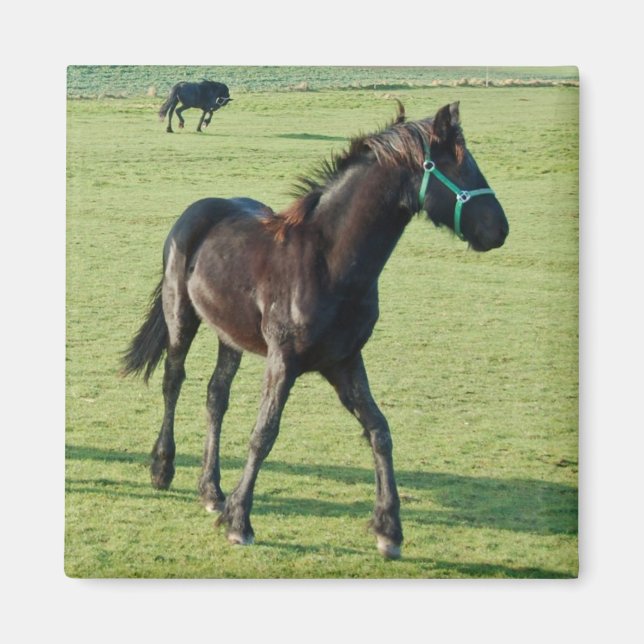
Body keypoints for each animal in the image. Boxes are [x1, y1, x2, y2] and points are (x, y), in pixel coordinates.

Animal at [122, 101, 509, 559]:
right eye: (461, 167)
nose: (499, 229)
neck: (329, 264)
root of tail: (198, 210)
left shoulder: (345, 361)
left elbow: (379, 430)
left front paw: (389, 529)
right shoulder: (283, 360)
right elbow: (264, 433)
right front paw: (239, 521)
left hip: (229, 336)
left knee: (216, 397)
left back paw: (211, 490)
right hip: (181, 316)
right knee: (173, 381)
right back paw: (162, 468)